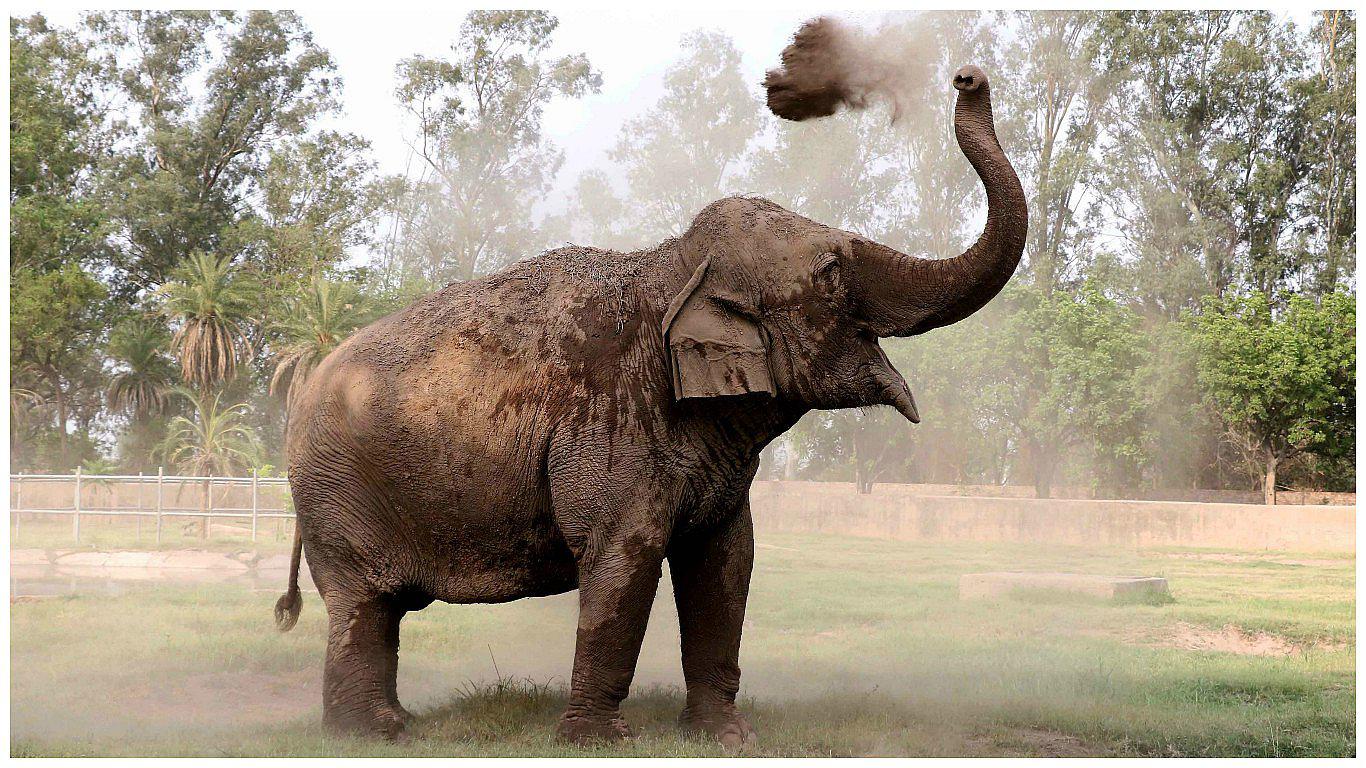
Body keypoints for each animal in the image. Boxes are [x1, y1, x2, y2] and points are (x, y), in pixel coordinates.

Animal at [275, 64, 1025, 746]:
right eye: (832, 272)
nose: (967, 77)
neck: (670, 267)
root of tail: (301, 389)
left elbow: (727, 561)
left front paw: (725, 737)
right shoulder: (609, 424)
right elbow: (625, 558)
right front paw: (595, 741)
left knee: (379, 611)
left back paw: (391, 724)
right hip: (335, 493)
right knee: (361, 604)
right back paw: (370, 734)